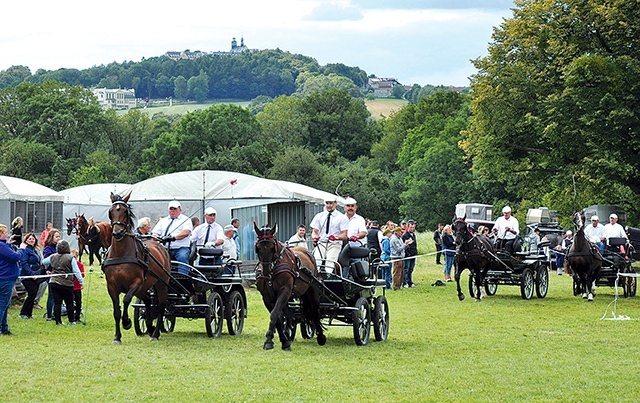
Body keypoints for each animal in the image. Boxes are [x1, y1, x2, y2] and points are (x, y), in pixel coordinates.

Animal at [100, 193, 171, 344]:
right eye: (111, 211)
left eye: (125, 212)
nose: (118, 232)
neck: (121, 254)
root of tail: (160, 246)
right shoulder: (111, 286)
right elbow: (116, 311)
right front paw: (117, 337)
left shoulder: (136, 283)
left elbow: (126, 299)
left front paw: (126, 322)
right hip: (144, 289)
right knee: (148, 301)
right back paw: (149, 327)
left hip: (161, 284)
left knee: (161, 308)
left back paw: (155, 333)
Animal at [254, 223, 324, 352]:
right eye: (258, 248)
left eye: (272, 247)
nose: (266, 272)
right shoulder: (267, 297)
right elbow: (278, 317)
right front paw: (281, 340)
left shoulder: (284, 291)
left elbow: (275, 314)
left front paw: (271, 341)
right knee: (289, 314)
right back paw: (287, 334)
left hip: (312, 291)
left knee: (315, 311)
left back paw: (321, 336)